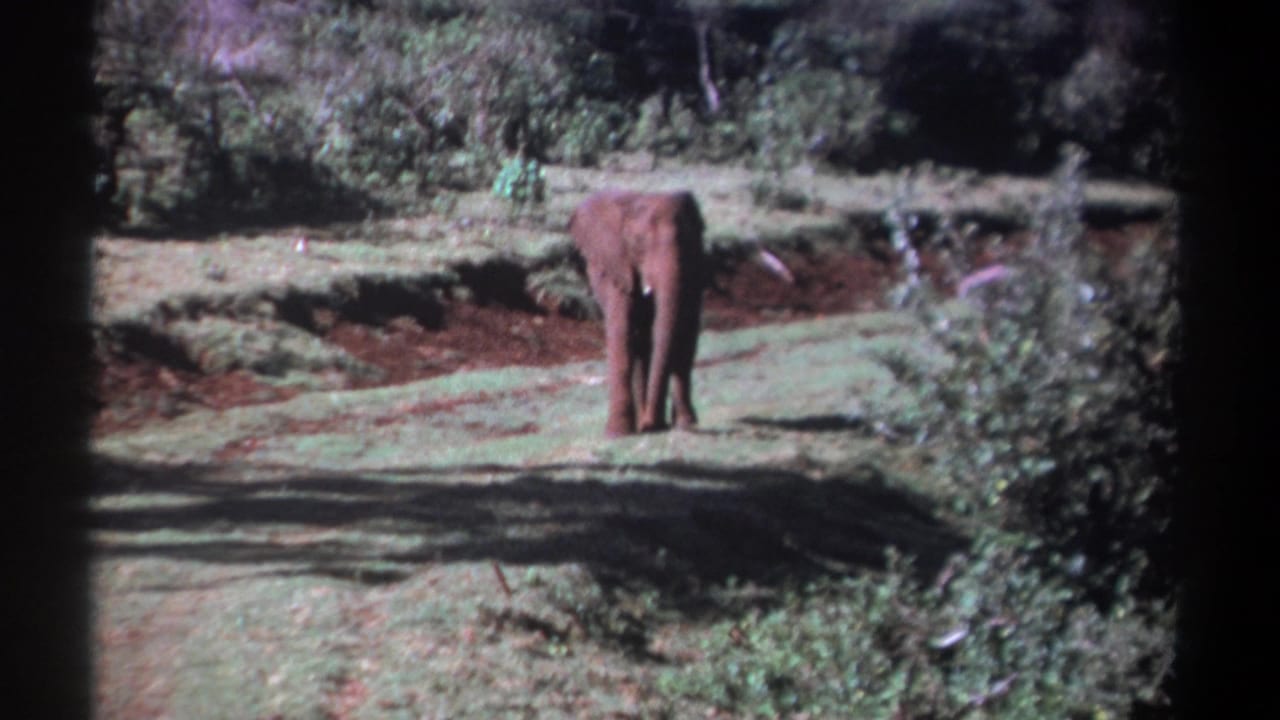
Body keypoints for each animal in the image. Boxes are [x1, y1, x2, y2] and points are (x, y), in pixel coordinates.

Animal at [569, 190, 707, 437]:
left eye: (688, 240)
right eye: (638, 243)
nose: (652, 424)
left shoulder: (695, 264)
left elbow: (686, 331)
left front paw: (685, 424)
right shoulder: (617, 264)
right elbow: (622, 329)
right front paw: (618, 434)